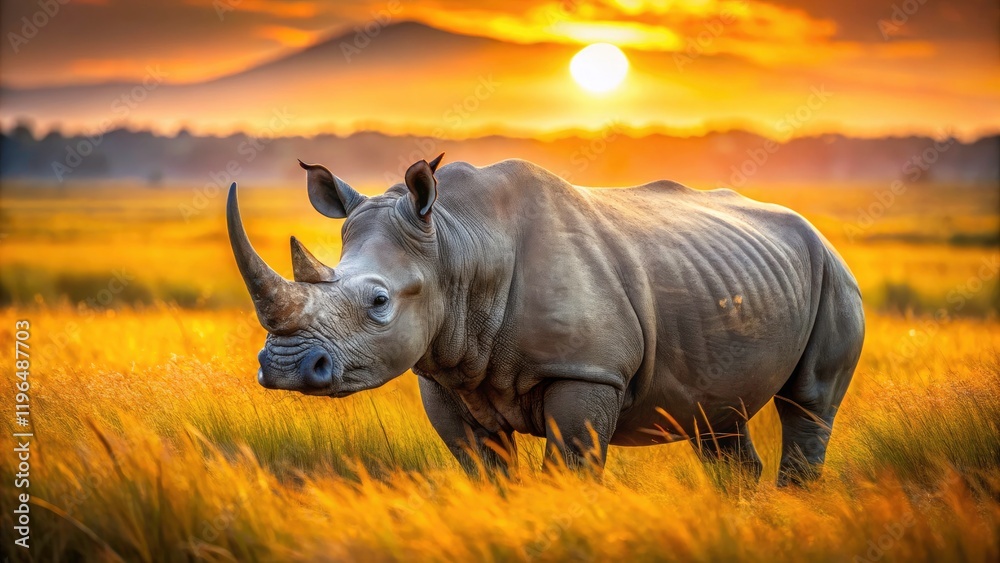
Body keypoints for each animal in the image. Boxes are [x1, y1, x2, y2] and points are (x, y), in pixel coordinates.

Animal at [226, 155, 865, 485]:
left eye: (379, 302)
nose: (283, 368)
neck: (457, 243)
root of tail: (819, 234)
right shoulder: (446, 375)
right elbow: (486, 475)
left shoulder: (586, 370)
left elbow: (572, 469)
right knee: (721, 419)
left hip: (833, 272)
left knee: (808, 403)